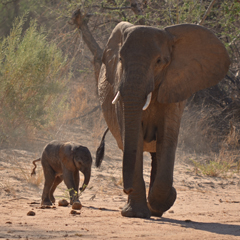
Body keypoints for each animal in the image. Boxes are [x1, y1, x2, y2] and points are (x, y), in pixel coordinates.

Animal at [97, 21, 231, 218]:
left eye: (159, 61)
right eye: (120, 59)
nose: (126, 189)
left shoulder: (175, 88)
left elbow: (167, 138)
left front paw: (165, 201)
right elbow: (134, 138)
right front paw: (136, 213)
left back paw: (156, 209)